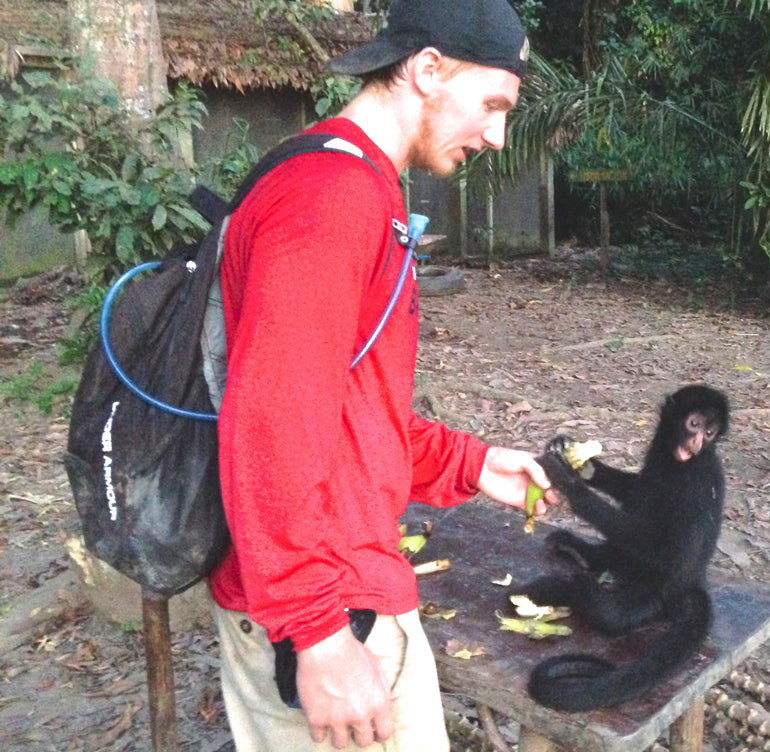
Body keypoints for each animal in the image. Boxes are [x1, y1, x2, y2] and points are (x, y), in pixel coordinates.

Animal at [520, 384, 728, 712]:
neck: (677, 462)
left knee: (609, 613)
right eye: (693, 424)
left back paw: (559, 587)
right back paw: (580, 553)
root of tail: (694, 583)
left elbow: (662, 547)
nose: (696, 442)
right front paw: (581, 461)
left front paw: (566, 478)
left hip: (655, 595)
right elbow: (633, 490)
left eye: (710, 432)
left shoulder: (698, 477)